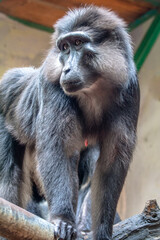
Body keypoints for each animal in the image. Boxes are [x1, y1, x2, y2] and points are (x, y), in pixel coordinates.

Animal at [0, 5, 139, 240]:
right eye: (64, 47)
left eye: (78, 43)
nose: (66, 69)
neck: (93, 90)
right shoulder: (52, 83)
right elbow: (59, 149)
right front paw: (64, 219)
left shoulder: (130, 91)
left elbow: (111, 163)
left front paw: (102, 230)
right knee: (9, 177)